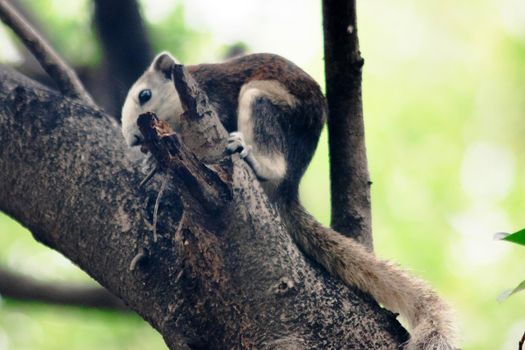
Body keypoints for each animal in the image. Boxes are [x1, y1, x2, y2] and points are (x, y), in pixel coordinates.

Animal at [122, 52, 454, 350]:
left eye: (145, 94)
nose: (133, 140)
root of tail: (290, 187)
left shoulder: (212, 100)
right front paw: (152, 165)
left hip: (264, 102)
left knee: (272, 158)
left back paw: (253, 159)